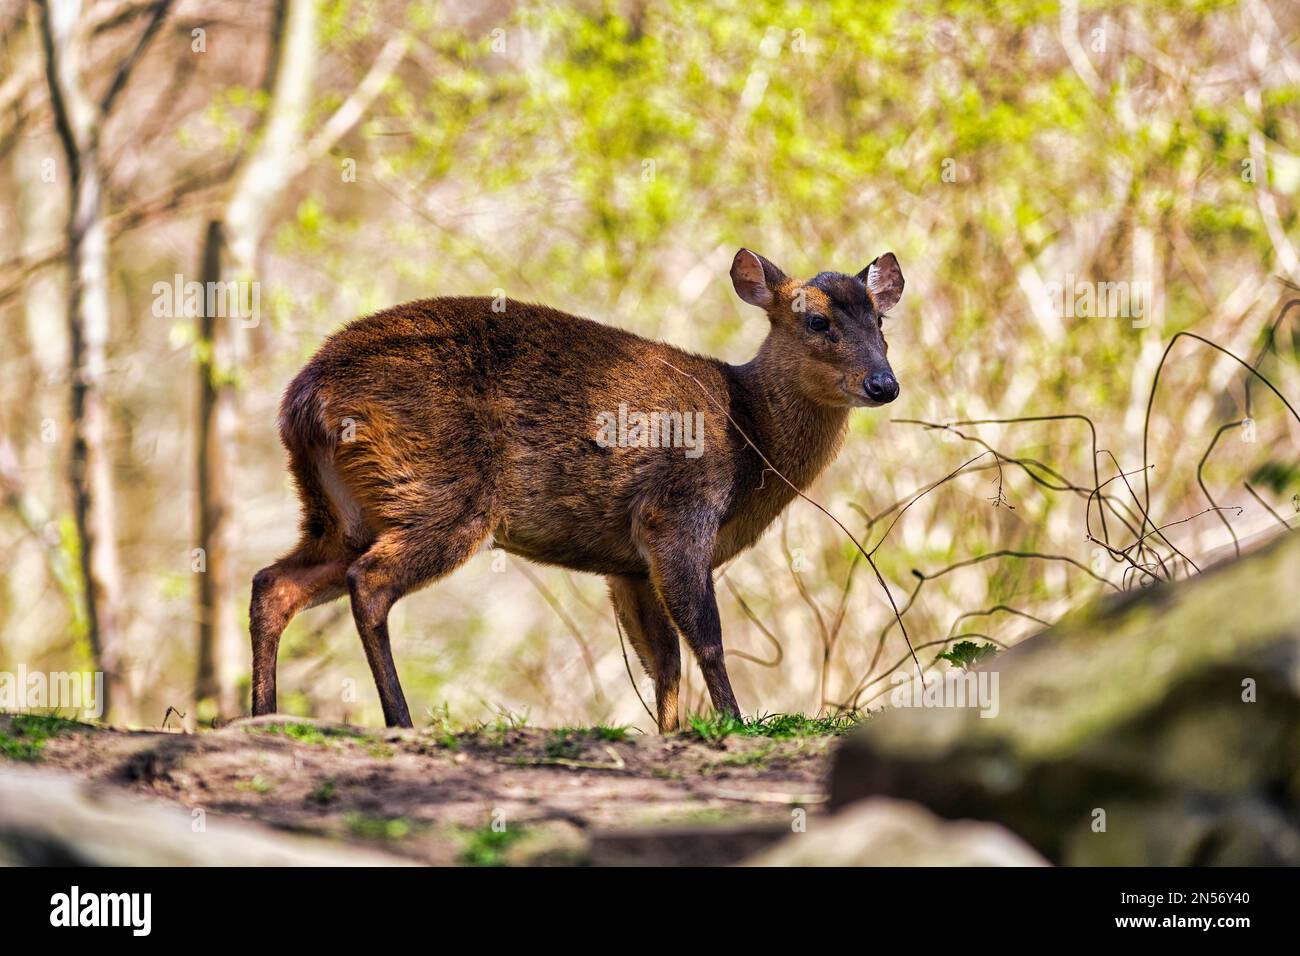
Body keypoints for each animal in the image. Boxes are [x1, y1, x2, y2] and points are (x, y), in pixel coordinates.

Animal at [250, 248, 904, 733]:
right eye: (817, 321)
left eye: (880, 322)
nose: (884, 384)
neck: (749, 433)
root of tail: (303, 399)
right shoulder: (677, 511)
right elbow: (707, 638)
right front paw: (732, 725)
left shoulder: (629, 564)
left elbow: (662, 660)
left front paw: (671, 735)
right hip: (442, 492)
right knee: (369, 582)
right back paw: (400, 722)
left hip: (341, 510)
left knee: (273, 584)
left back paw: (261, 716)